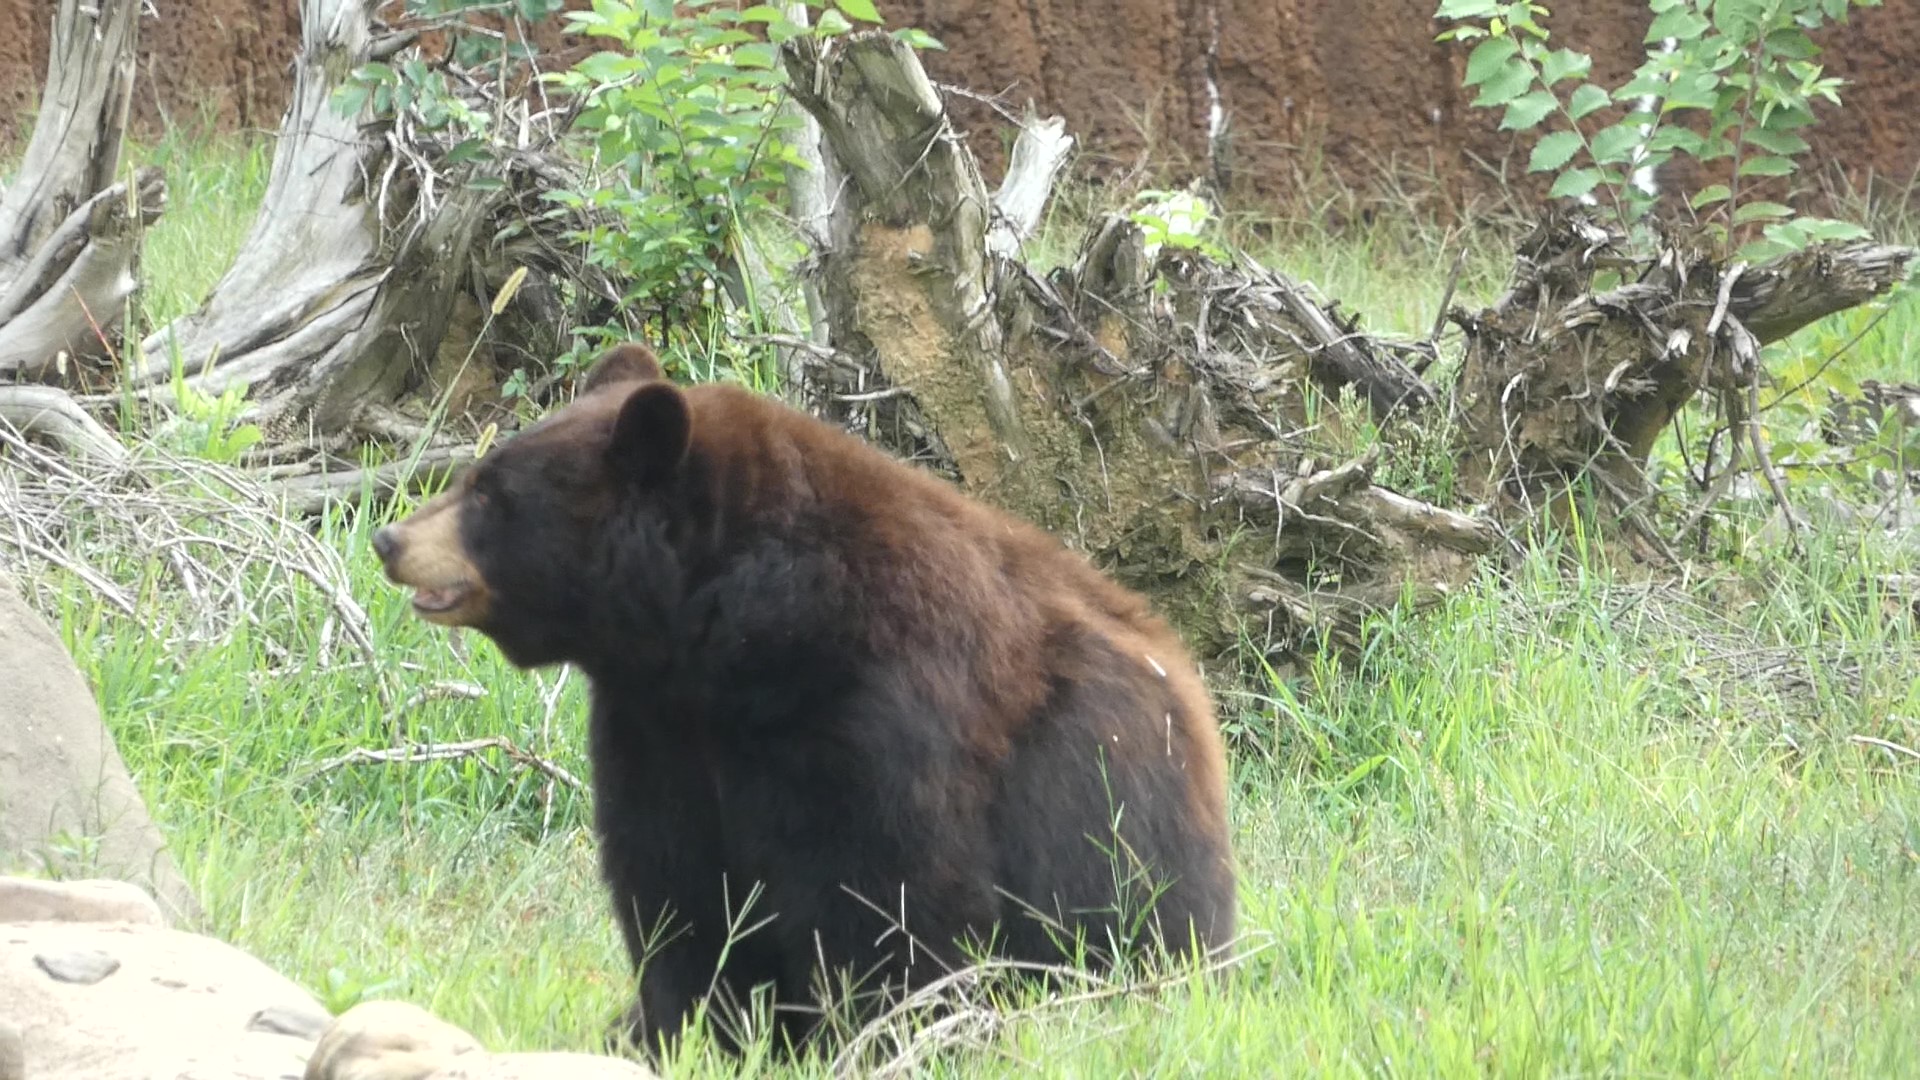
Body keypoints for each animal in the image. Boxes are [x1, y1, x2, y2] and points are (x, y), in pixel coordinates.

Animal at [371, 342, 1236, 1057]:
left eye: (489, 494)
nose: (389, 539)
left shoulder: (874, 711)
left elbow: (890, 890)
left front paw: (888, 1034)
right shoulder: (653, 729)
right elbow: (674, 882)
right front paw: (684, 1030)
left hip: (1114, 815)